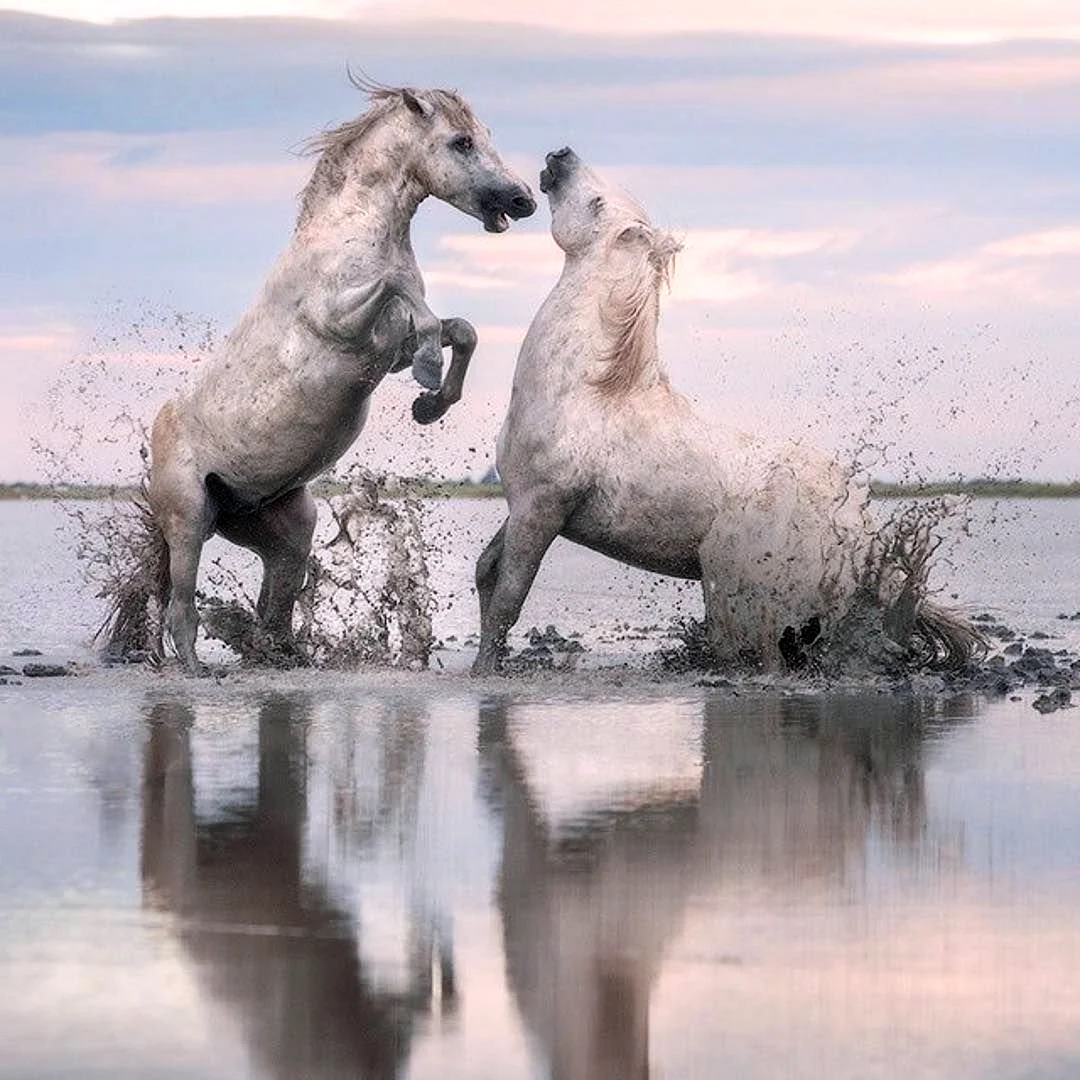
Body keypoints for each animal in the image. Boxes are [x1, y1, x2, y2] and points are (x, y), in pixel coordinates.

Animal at [144, 84, 535, 672]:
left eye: (485, 136)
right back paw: (193, 671)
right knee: (181, 613)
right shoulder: (343, 322)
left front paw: (431, 403)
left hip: (285, 527)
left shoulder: (388, 351)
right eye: (461, 142)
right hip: (188, 522)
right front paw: (430, 375)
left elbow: (461, 330)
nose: (522, 200)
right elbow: (398, 286)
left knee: (274, 606)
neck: (350, 235)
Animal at [472, 147, 980, 676]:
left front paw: (486, 672)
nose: (559, 155)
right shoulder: (521, 503)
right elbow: (487, 574)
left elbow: (509, 598)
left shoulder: (543, 508)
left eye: (596, 203)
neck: (587, 393)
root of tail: (862, 526)